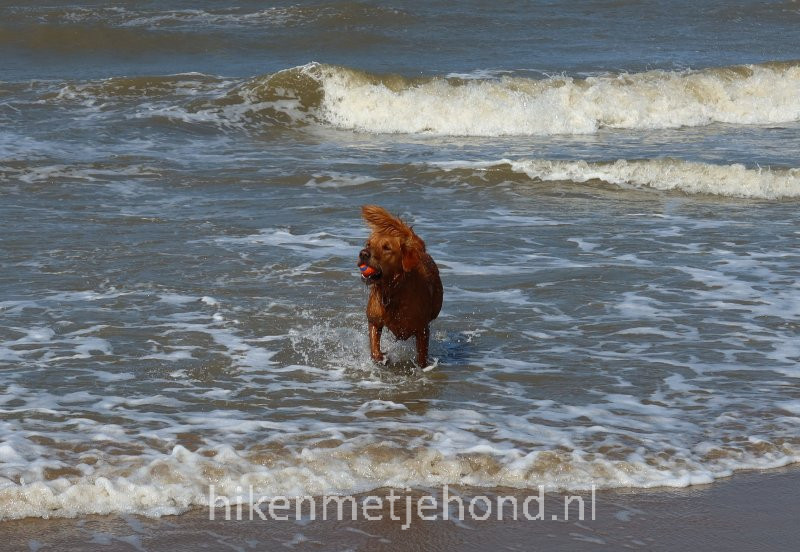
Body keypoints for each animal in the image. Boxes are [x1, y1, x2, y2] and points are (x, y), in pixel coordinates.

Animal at [358, 206, 444, 366]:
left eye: (386, 248)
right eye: (368, 244)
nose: (363, 254)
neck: (392, 291)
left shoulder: (422, 329)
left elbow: (422, 357)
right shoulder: (374, 320)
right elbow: (374, 347)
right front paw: (381, 358)